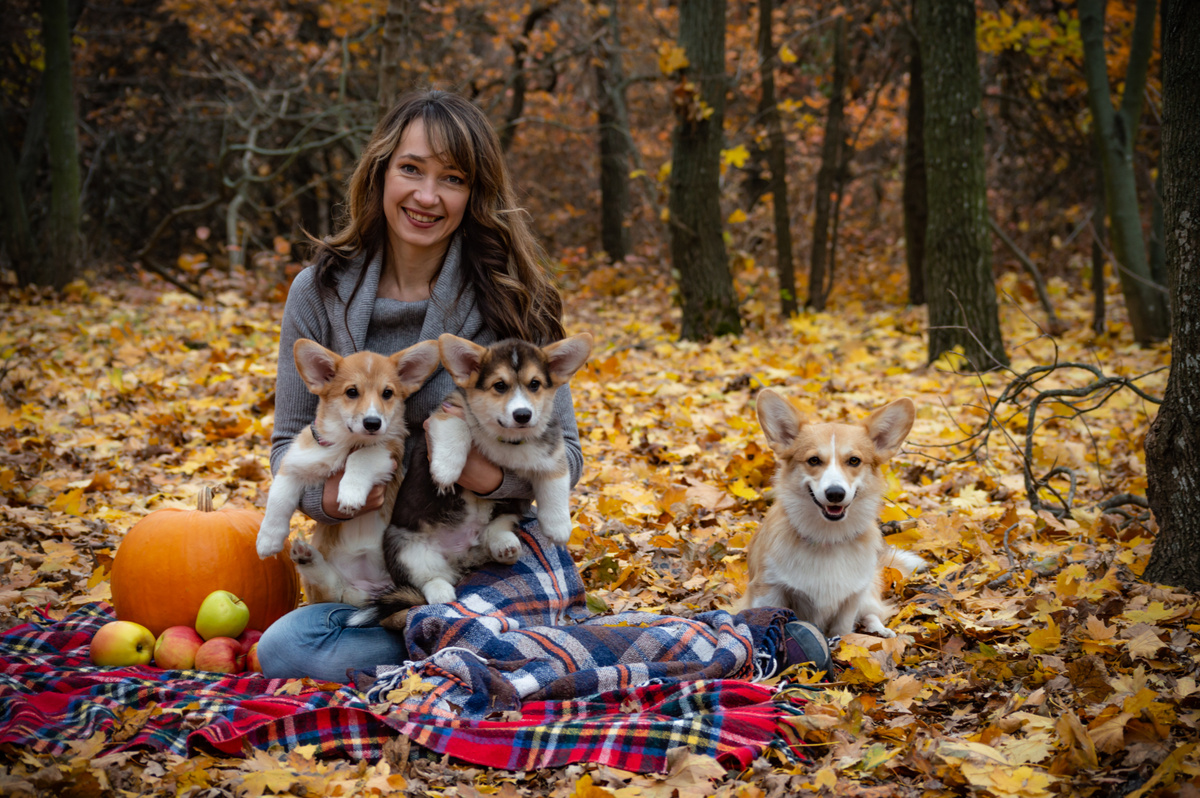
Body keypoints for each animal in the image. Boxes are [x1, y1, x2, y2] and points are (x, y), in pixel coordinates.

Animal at [255, 333, 444, 604]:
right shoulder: (294, 465)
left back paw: (439, 591)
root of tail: (368, 590)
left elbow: (360, 458)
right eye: (352, 392)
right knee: (331, 587)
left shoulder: (387, 451)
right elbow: (278, 500)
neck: (346, 442)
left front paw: (350, 494)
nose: (373, 423)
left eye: (387, 393)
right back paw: (307, 558)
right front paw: (267, 540)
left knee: (423, 576)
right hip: (332, 587)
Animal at [350, 331, 595, 628]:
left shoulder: (551, 450)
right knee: (428, 579)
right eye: (499, 386)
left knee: (495, 531)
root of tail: (461, 555)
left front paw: (559, 527)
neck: (505, 439)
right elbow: (459, 429)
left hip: (506, 513)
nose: (523, 415)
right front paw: (445, 470)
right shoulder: (447, 413)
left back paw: (505, 546)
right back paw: (442, 592)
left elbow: (555, 483)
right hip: (403, 547)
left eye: (535, 384)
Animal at [744, 388, 921, 638]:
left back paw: (880, 630)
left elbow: (844, 630)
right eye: (814, 460)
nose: (835, 493)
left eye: (854, 460)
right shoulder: (768, 589)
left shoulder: (852, 596)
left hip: (867, 592)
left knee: (872, 612)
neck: (828, 537)